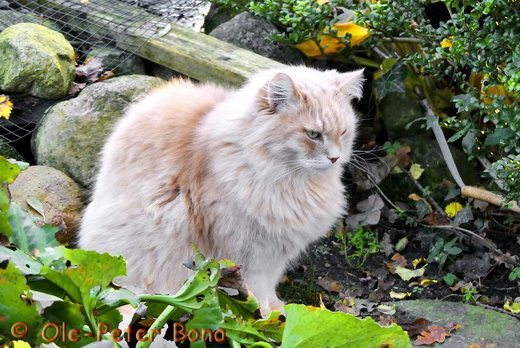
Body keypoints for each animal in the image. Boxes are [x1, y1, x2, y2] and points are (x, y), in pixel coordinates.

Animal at [79, 66, 366, 316]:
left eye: (343, 132)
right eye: (313, 134)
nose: (335, 158)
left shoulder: (273, 254)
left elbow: (267, 287)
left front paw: (277, 312)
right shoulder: (246, 252)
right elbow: (255, 292)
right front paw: (265, 319)